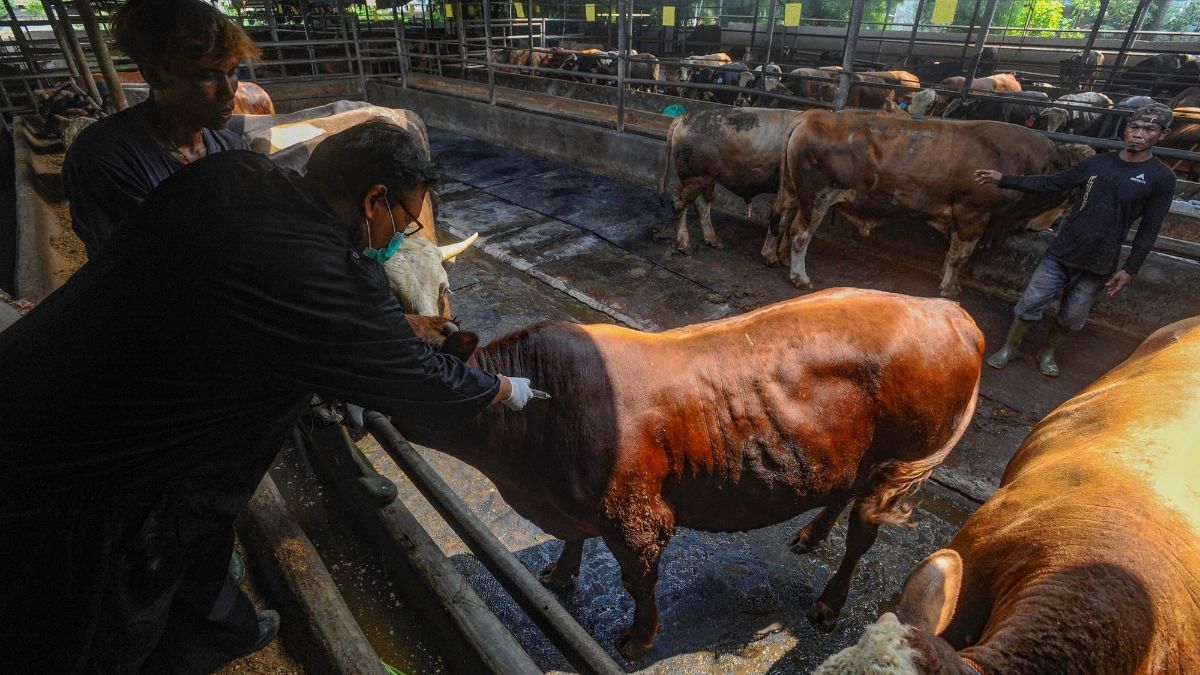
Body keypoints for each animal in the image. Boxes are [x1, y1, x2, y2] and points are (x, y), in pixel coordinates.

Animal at [657, 107, 806, 252]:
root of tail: (684, 117)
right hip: (694, 177)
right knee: (679, 203)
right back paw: (684, 245)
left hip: (707, 179)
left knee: (702, 204)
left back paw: (713, 240)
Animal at [768, 111, 1099, 295]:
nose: (1057, 222)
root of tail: (808, 117)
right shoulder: (974, 215)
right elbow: (960, 256)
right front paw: (950, 288)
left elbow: (951, 253)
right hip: (817, 197)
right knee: (800, 233)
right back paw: (799, 276)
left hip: (791, 191)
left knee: (780, 218)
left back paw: (774, 257)